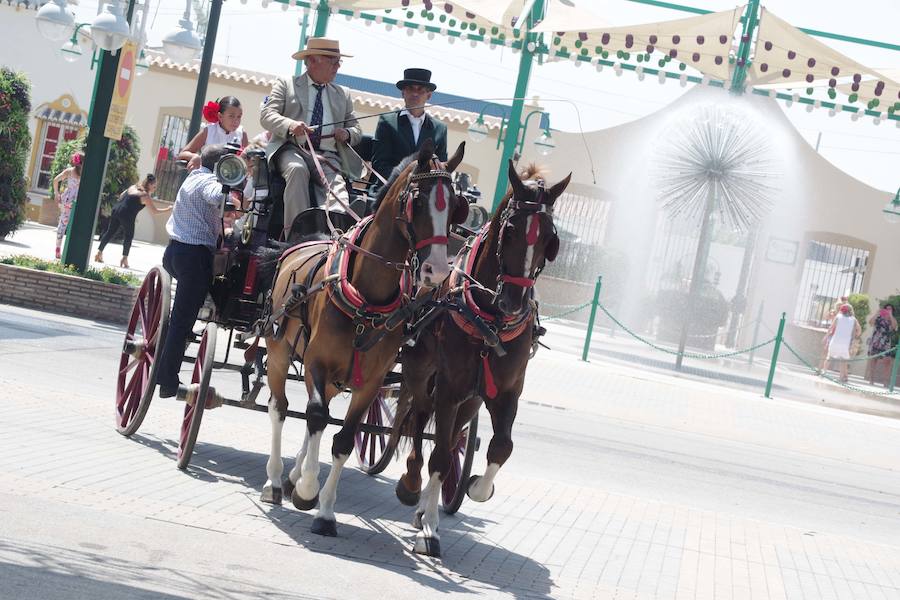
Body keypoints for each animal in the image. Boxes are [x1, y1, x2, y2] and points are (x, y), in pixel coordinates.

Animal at [260, 141, 472, 540]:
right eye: (418, 200)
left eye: (455, 205)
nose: (437, 271)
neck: (366, 294)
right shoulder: (316, 363)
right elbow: (314, 415)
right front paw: (308, 490)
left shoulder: (370, 382)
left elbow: (343, 439)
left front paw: (325, 511)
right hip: (280, 353)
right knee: (280, 408)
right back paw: (277, 481)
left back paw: (293, 475)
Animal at [390, 161, 568, 556]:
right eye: (511, 229)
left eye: (549, 237)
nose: (514, 302)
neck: (490, 320)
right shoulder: (449, 389)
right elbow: (440, 454)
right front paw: (431, 530)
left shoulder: (506, 392)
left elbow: (501, 447)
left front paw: (475, 487)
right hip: (420, 372)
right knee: (420, 420)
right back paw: (412, 484)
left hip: (471, 399)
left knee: (454, 434)